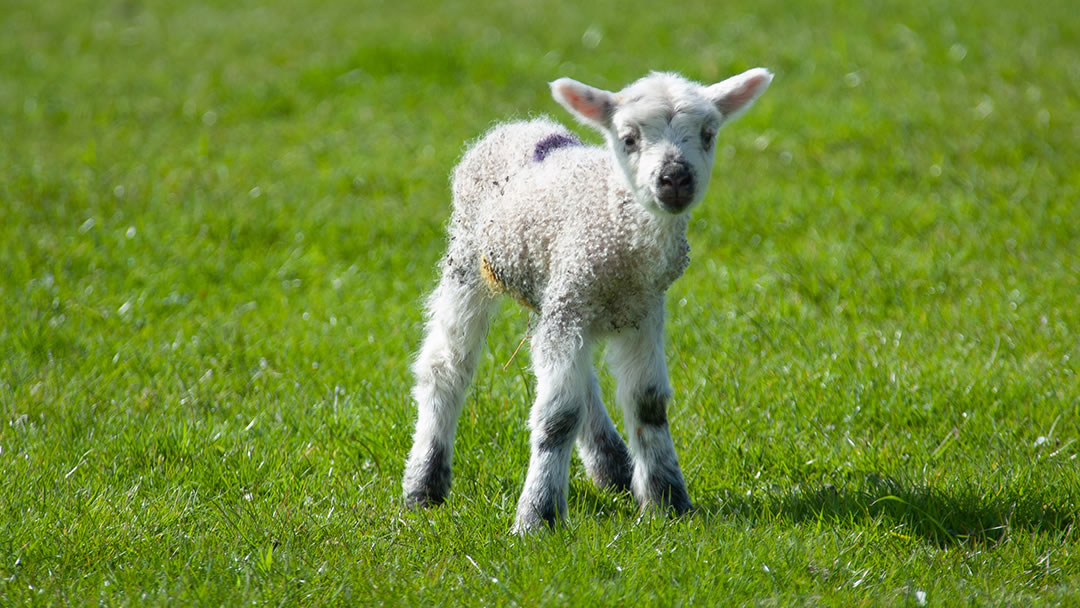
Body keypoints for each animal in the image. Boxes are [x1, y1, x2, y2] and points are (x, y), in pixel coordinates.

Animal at [402, 68, 773, 533]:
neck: (621, 239)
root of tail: (518, 126)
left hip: (554, 294)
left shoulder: (643, 309)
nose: (674, 178)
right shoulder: (573, 301)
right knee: (446, 366)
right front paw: (538, 517)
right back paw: (424, 485)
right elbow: (558, 417)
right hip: (471, 260)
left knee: (580, 383)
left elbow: (647, 403)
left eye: (709, 134)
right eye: (628, 138)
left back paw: (613, 468)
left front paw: (668, 501)